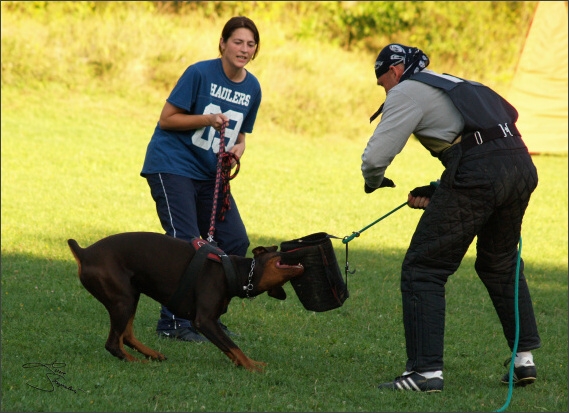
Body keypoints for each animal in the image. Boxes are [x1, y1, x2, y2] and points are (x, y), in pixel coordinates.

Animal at [68, 232, 304, 370]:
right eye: (280, 252)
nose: (298, 250)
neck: (234, 271)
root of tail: (84, 252)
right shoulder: (204, 321)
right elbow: (233, 346)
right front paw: (252, 366)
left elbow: (230, 349)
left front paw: (249, 363)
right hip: (123, 300)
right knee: (112, 344)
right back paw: (138, 362)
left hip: (131, 295)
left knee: (124, 336)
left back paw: (152, 354)